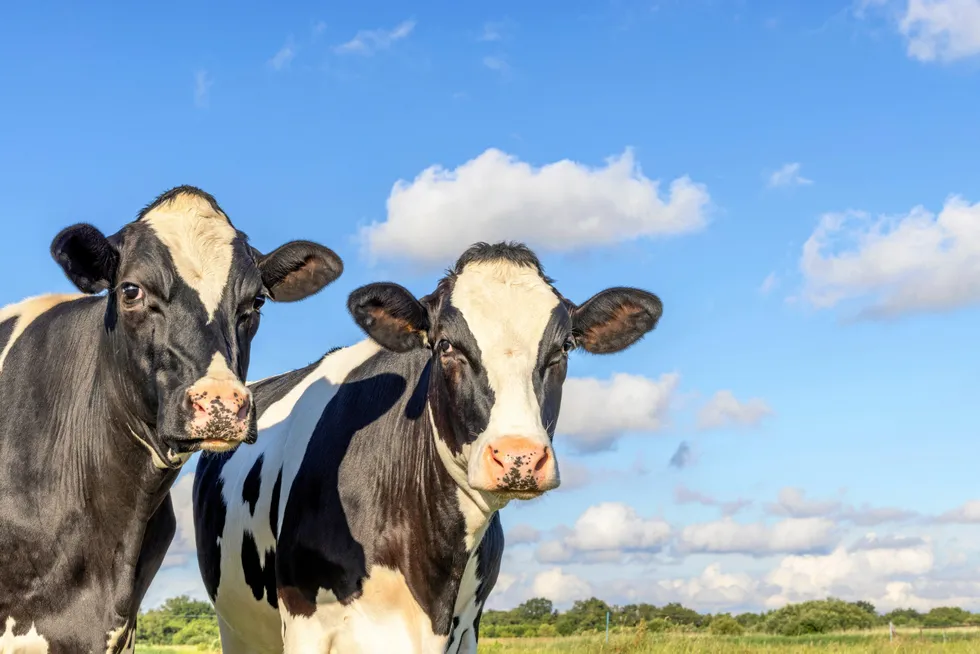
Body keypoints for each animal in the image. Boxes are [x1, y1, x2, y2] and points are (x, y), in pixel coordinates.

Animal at [194, 243, 664, 652]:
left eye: (564, 347)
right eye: (446, 345)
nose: (519, 457)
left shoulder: (467, 629)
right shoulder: (305, 625)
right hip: (238, 627)